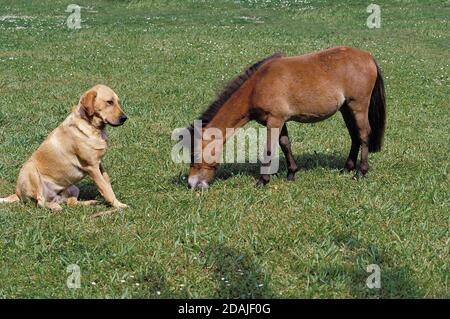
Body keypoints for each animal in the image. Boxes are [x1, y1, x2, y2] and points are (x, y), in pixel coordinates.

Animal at [186, 46, 386, 189]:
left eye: (195, 155)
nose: (191, 184)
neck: (257, 85)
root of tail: (368, 57)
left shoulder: (274, 120)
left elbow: (269, 149)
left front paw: (262, 181)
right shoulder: (279, 121)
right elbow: (285, 144)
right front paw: (291, 174)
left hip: (358, 106)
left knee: (364, 135)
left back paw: (360, 172)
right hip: (346, 109)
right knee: (354, 136)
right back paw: (347, 168)